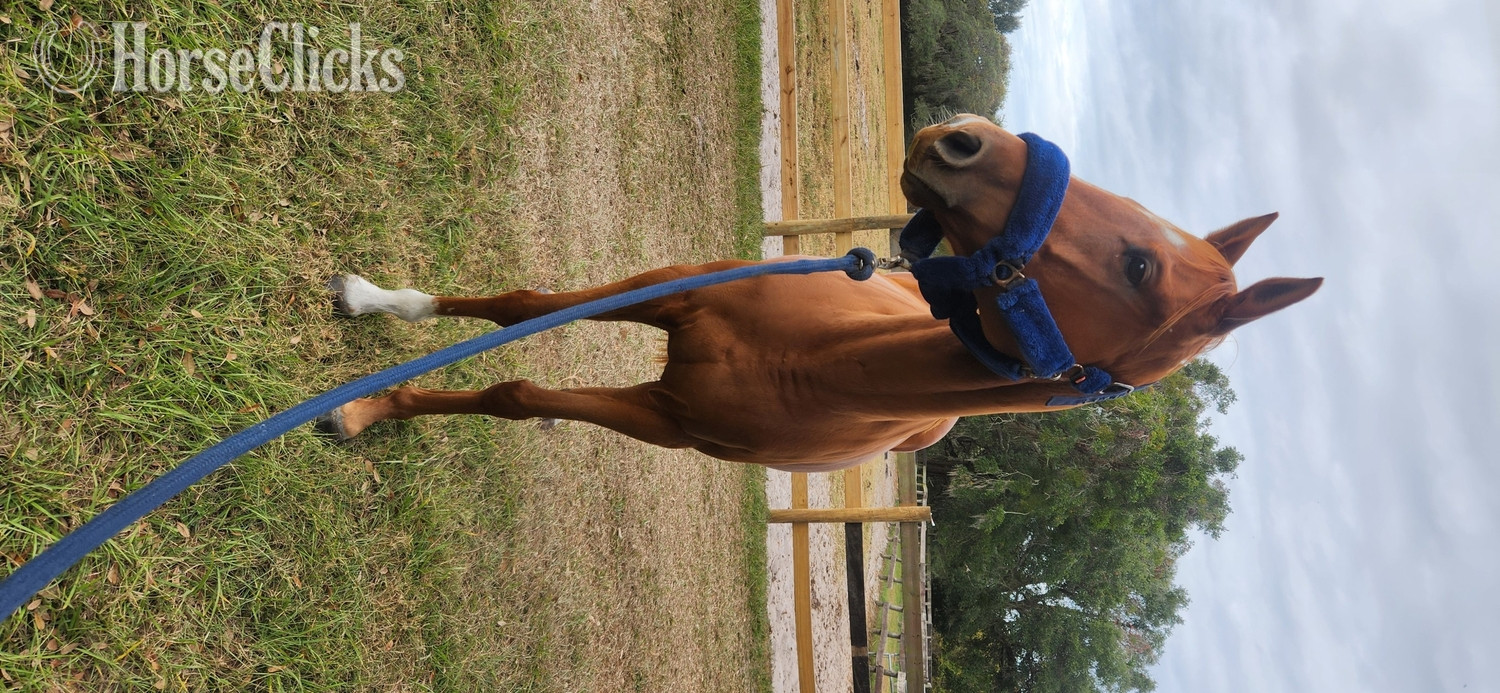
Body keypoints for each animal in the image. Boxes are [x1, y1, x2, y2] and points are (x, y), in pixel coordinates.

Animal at [315, 115, 1321, 472]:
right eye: (1150, 231)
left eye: (1141, 268)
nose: (962, 139)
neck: (815, 359)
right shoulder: (675, 293)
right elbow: (524, 310)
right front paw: (375, 313)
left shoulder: (666, 417)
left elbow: (514, 393)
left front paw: (361, 410)